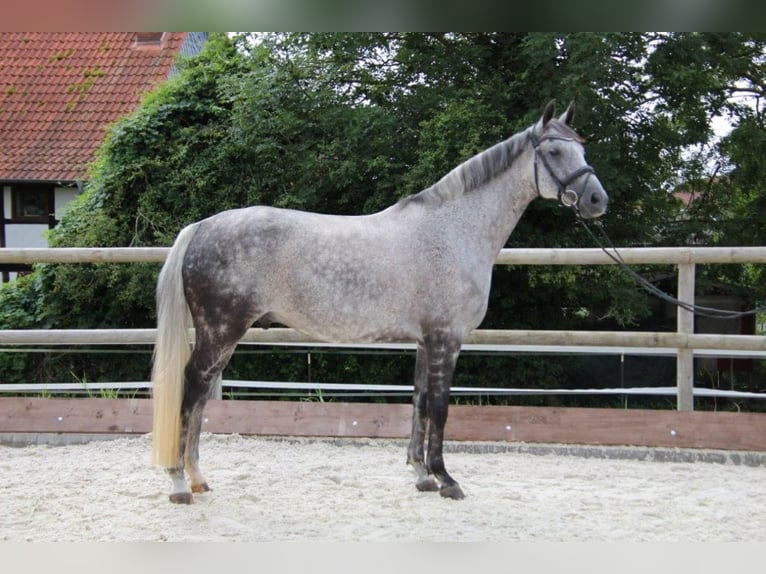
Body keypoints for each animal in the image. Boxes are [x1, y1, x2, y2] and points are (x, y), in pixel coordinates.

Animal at [151, 99, 609, 503]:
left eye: (583, 149)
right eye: (554, 150)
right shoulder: (447, 339)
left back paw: (197, 478)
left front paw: (423, 475)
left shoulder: (426, 341)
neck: (452, 231)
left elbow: (420, 403)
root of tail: (202, 226)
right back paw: (178, 482)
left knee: (200, 394)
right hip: (220, 331)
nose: (597, 200)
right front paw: (447, 479)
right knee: (191, 389)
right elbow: (440, 408)